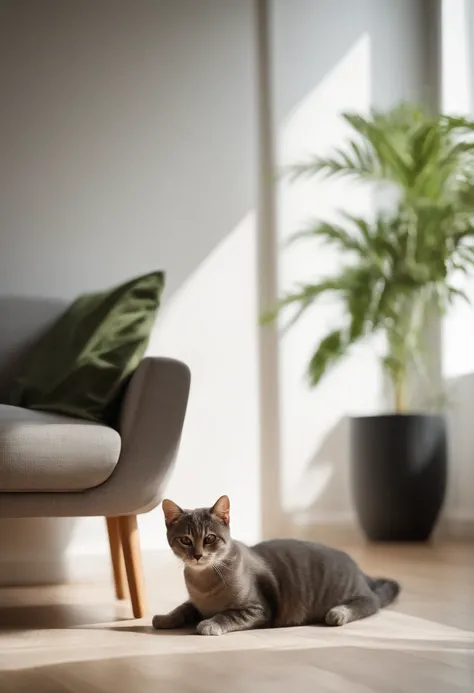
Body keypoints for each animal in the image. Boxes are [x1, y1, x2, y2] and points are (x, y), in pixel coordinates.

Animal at [152, 494, 400, 636]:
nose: (197, 555)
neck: (203, 582)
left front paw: (209, 624)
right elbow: (182, 608)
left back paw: (339, 612)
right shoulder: (195, 603)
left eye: (209, 538)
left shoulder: (258, 609)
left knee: (370, 602)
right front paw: (165, 618)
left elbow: (227, 615)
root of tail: (358, 568)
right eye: (185, 540)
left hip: (350, 592)